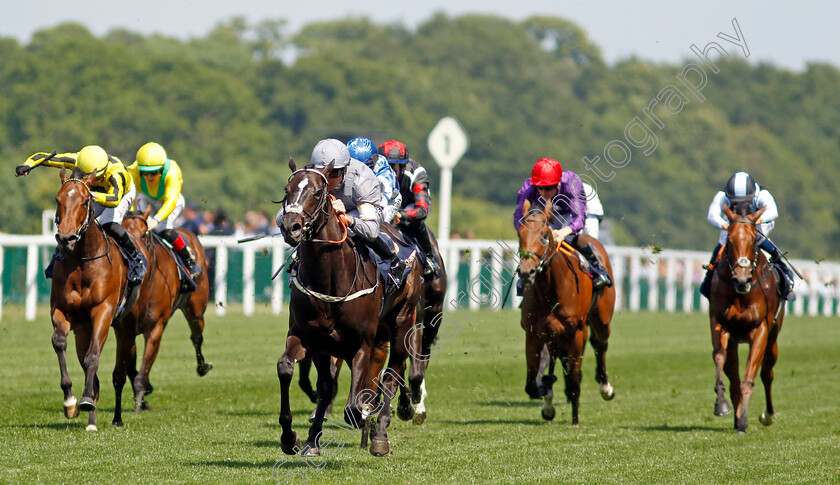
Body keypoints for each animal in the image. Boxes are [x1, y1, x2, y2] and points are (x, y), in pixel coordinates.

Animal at [47, 168, 132, 430]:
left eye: (85, 201)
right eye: (58, 199)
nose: (66, 238)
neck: (84, 261)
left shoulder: (103, 310)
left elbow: (93, 357)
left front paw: (85, 400)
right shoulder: (61, 309)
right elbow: (59, 342)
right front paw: (70, 401)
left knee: (101, 364)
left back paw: (101, 416)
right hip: (82, 330)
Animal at [108, 205, 212, 424]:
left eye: (144, 234)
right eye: (123, 230)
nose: (136, 255)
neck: (148, 284)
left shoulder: (155, 327)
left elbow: (142, 370)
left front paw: (140, 400)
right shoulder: (126, 328)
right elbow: (130, 367)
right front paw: (144, 394)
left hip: (196, 309)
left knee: (197, 337)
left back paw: (202, 367)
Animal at [274, 160, 420, 458]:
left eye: (319, 192)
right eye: (287, 189)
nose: (291, 227)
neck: (330, 280)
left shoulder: (361, 342)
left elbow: (354, 405)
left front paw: (364, 417)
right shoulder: (309, 337)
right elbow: (288, 369)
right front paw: (292, 437)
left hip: (402, 322)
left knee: (392, 375)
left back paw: (380, 435)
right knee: (330, 385)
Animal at [512, 199, 616, 424]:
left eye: (544, 234)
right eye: (519, 234)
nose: (526, 272)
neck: (551, 290)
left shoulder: (575, 331)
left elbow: (575, 379)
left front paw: (575, 419)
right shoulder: (534, 333)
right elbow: (532, 383)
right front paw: (546, 391)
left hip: (601, 319)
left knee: (600, 344)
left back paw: (605, 387)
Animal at [708, 202, 788, 432]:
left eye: (753, 239)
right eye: (729, 239)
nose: (742, 279)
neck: (742, 294)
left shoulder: (760, 330)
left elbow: (749, 378)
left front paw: (744, 420)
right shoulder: (720, 323)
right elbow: (719, 357)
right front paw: (721, 404)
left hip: (773, 338)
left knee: (767, 374)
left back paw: (768, 414)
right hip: (735, 341)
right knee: (733, 374)